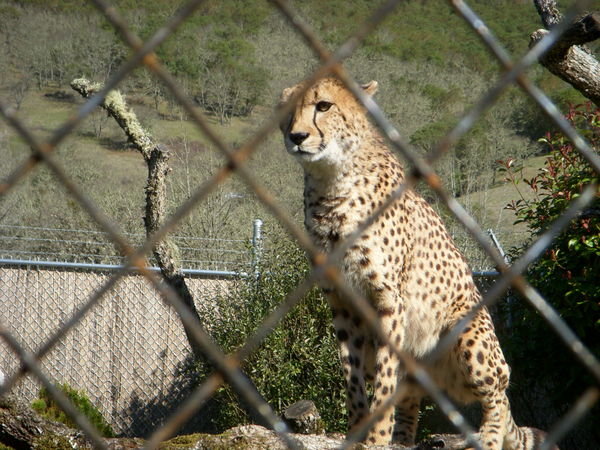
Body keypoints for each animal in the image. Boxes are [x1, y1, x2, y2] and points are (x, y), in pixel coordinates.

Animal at [278, 75, 552, 448]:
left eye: (324, 106)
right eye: (288, 113)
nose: (296, 136)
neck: (332, 181)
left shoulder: (388, 299)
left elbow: (384, 381)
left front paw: (376, 438)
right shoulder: (343, 302)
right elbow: (352, 376)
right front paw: (358, 430)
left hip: (469, 337)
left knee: (499, 395)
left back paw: (488, 436)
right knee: (411, 401)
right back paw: (403, 439)